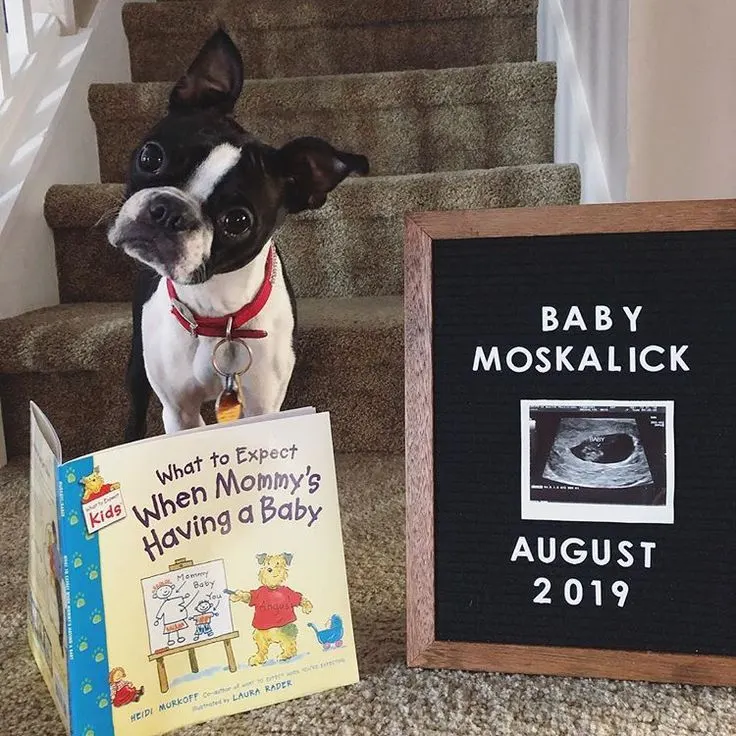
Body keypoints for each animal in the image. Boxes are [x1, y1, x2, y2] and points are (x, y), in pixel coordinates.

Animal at [108, 28, 368, 440]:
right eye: (150, 157)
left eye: (237, 221)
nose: (169, 212)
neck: (216, 312)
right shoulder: (179, 411)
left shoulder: (261, 407)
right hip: (137, 360)